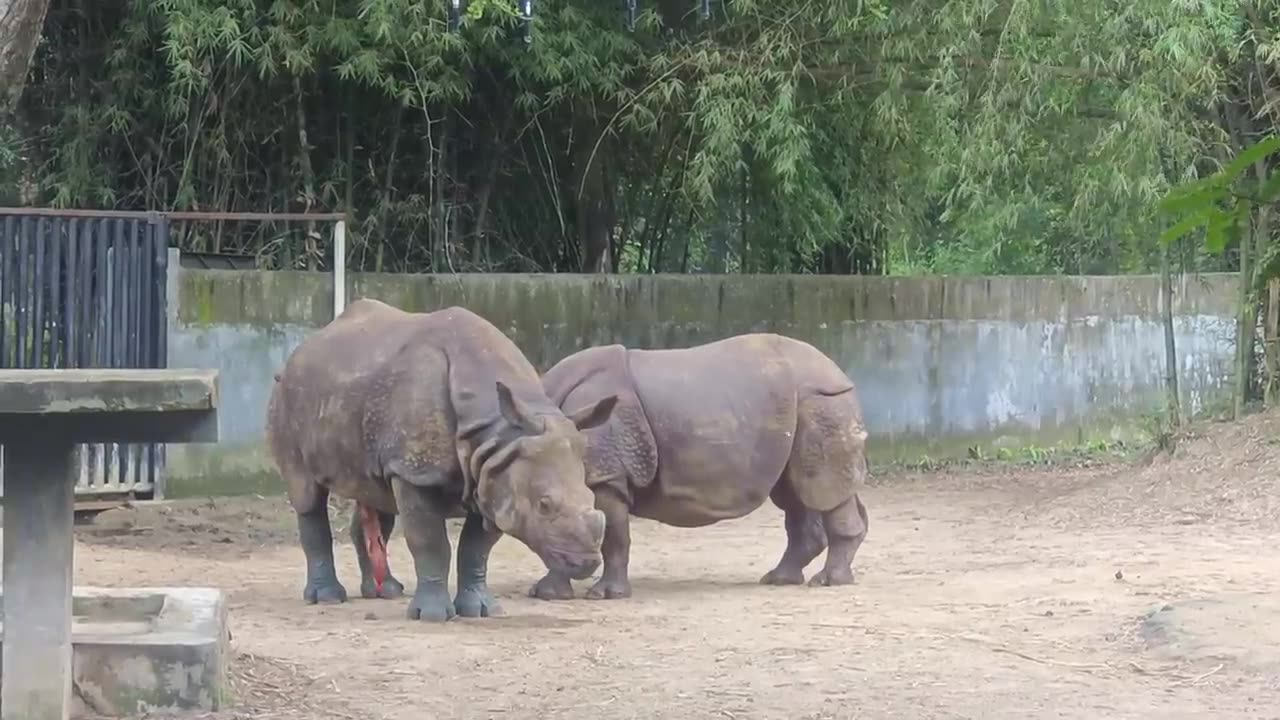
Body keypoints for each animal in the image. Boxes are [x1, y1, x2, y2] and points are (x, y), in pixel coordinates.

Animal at [264, 299, 614, 620]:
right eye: (544, 505)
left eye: (592, 497)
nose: (586, 563)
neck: (498, 431)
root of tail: (301, 349)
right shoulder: (416, 471)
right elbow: (429, 541)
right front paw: (431, 615)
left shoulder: (494, 469)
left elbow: (477, 547)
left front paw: (480, 610)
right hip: (287, 396)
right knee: (307, 494)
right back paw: (327, 598)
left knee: (376, 495)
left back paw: (385, 592)